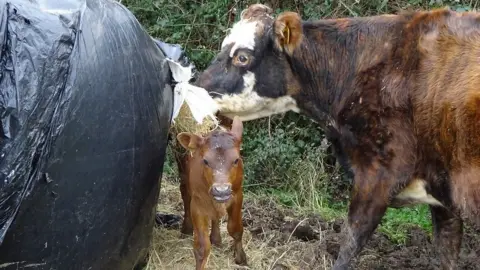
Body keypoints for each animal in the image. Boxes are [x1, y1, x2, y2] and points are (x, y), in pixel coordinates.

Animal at [175, 116, 246, 270]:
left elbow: (235, 229)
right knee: (185, 195)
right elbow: (202, 247)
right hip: (183, 173)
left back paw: (216, 238)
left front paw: (241, 257)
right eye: (205, 161)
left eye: (236, 160)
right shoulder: (198, 204)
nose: (221, 190)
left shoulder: (238, 195)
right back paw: (186, 228)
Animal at [193, 4, 480, 270]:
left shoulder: (377, 175)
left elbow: (349, 245)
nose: (196, 90)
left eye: (242, 57)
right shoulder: (443, 198)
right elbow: (446, 254)